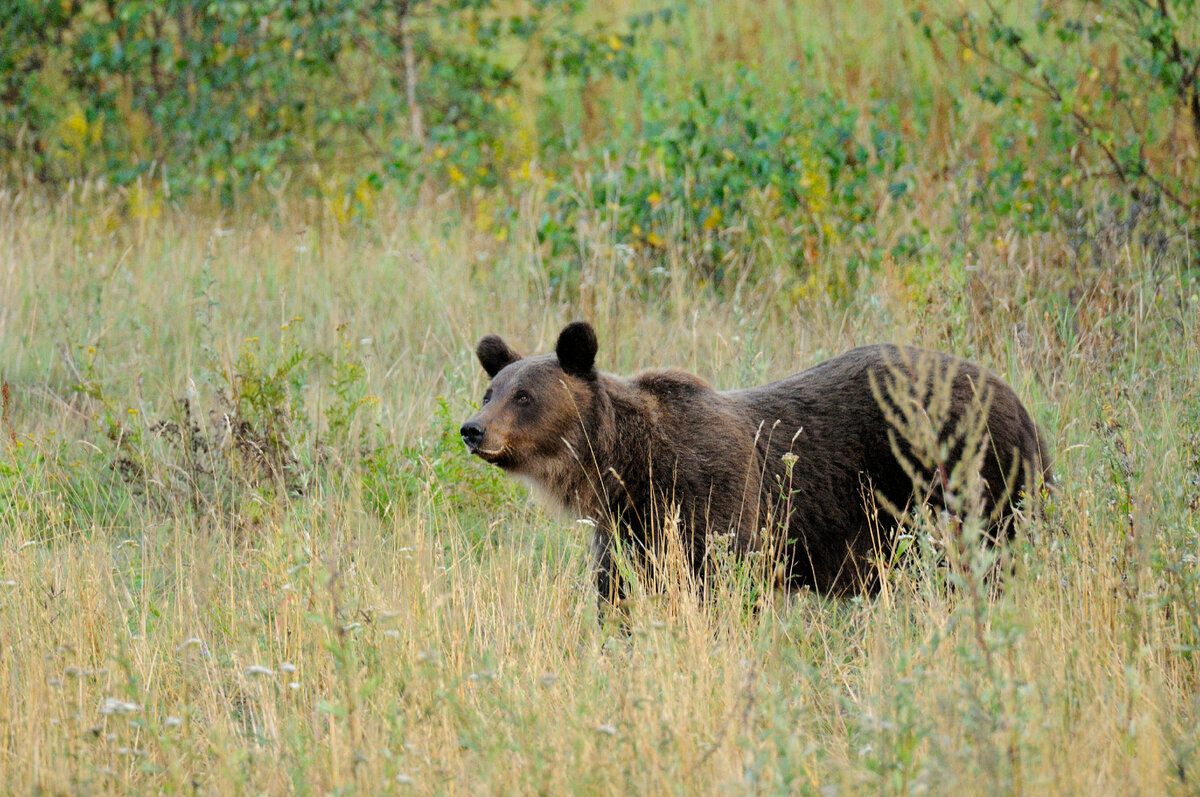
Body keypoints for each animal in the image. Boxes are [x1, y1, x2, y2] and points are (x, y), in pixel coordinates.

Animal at [458, 321, 1051, 607]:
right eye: (491, 390)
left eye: (525, 396)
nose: (472, 429)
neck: (628, 466)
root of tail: (1014, 396)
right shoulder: (630, 529)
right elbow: (618, 592)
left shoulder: (711, 498)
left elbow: (726, 582)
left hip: (974, 474)